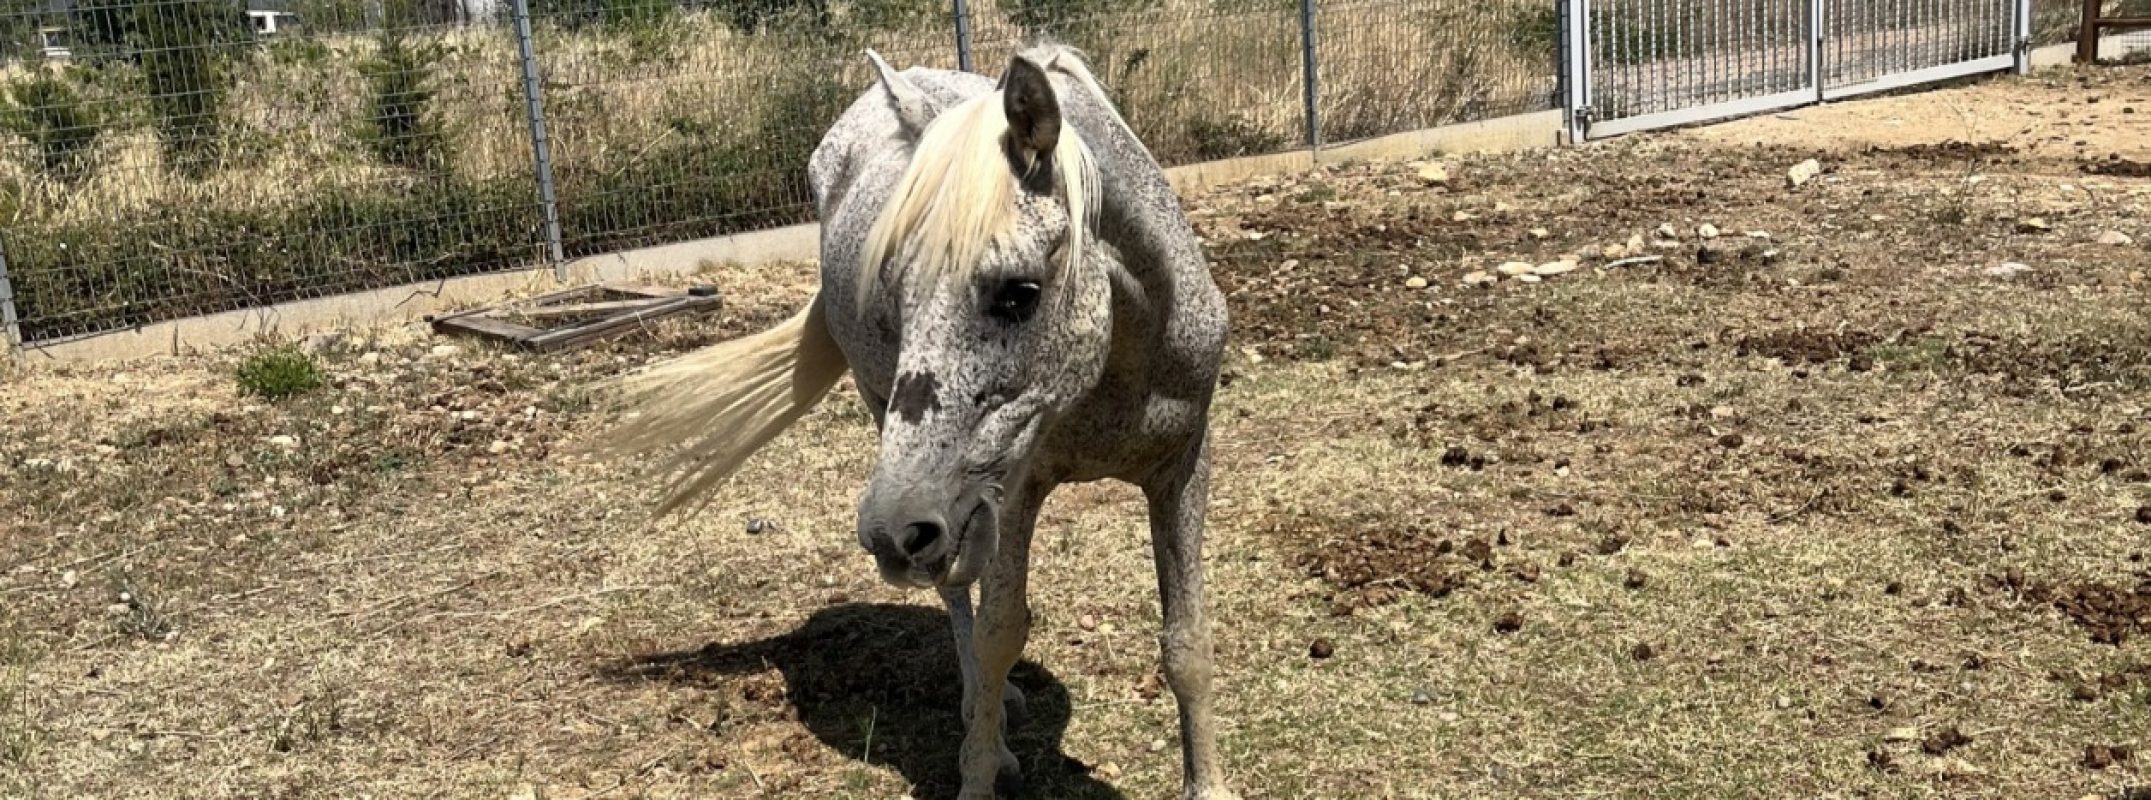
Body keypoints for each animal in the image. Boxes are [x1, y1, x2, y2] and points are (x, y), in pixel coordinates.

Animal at [601, 43, 1236, 800]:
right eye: (894, 290)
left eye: (1018, 293)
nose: (887, 531)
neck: (1121, 358)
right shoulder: (1010, 488)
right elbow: (997, 631)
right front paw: (981, 767)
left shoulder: (1181, 468)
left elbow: (1187, 641)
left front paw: (1209, 784)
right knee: (955, 589)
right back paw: (982, 712)